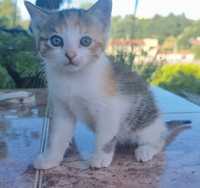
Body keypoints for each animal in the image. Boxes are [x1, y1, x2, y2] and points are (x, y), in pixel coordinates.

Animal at [24, 0, 166, 170]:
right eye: (56, 40)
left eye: (85, 41)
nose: (71, 55)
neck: (73, 79)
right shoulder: (62, 108)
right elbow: (58, 135)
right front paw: (50, 158)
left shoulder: (109, 109)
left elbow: (104, 136)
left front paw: (100, 158)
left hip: (143, 124)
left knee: (158, 140)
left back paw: (146, 149)